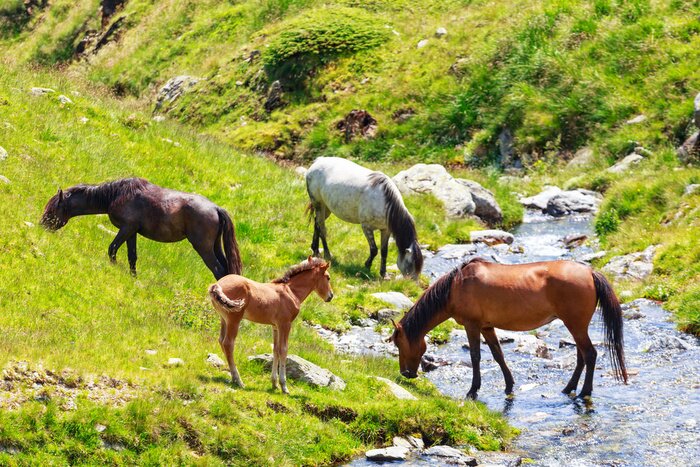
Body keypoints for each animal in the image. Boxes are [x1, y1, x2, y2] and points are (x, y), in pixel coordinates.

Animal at [40, 178, 242, 279]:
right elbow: (132, 256)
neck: (117, 194)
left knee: (218, 271)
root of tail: (216, 208)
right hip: (215, 246)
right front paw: (133, 277)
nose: (41, 226)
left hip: (203, 248)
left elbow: (112, 248)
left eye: (52, 208)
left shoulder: (126, 228)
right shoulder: (132, 232)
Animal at [208, 257, 333, 393]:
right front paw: (284, 386)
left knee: (221, 341)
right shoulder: (285, 324)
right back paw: (239, 380)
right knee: (228, 344)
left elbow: (276, 350)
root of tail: (217, 285)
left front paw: (274, 383)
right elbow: (283, 350)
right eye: (328, 277)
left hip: (224, 319)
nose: (330, 296)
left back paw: (233, 378)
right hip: (234, 320)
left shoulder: (275, 326)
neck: (291, 292)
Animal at [388, 258, 627, 400]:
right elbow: (498, 354)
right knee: (581, 357)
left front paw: (473, 390)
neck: (456, 287)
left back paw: (584, 392)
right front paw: (509, 385)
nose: (406, 373)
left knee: (590, 354)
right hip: (576, 325)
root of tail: (590, 272)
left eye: (399, 343)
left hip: (575, 324)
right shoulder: (487, 327)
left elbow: (475, 356)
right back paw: (568, 388)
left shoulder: (472, 325)